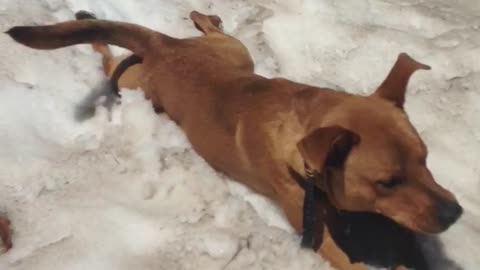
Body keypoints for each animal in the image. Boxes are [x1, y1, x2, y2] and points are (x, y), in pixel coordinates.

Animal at [5, 9, 462, 268]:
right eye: (386, 181)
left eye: (426, 159)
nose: (456, 213)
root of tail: (164, 44)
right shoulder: (321, 236)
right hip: (137, 84)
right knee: (108, 58)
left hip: (234, 52)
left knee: (200, 31)